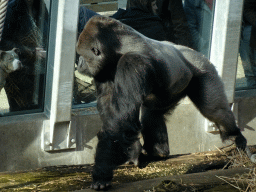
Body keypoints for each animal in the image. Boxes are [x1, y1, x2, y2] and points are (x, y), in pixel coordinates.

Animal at [76, 15, 254, 190]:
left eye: (82, 55)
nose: (79, 64)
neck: (117, 48)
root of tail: (196, 53)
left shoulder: (131, 63)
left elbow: (119, 121)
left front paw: (101, 173)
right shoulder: (103, 69)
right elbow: (111, 110)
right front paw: (132, 149)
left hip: (204, 68)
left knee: (214, 110)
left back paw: (234, 136)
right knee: (152, 112)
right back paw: (158, 151)